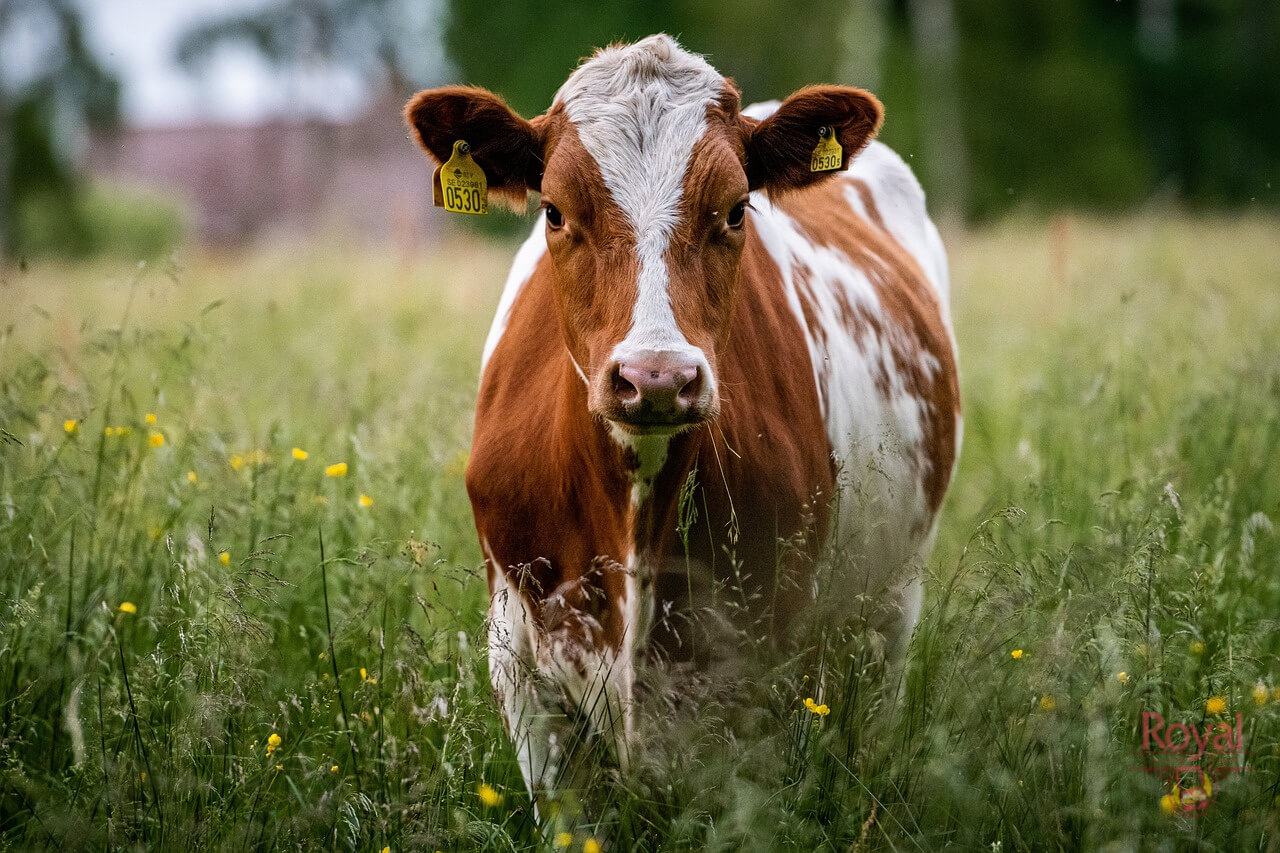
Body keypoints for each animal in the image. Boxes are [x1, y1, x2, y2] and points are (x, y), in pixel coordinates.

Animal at [404, 33, 957, 799]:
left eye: (735, 210)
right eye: (554, 211)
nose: (657, 377)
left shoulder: (758, 672)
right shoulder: (521, 672)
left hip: (891, 605)